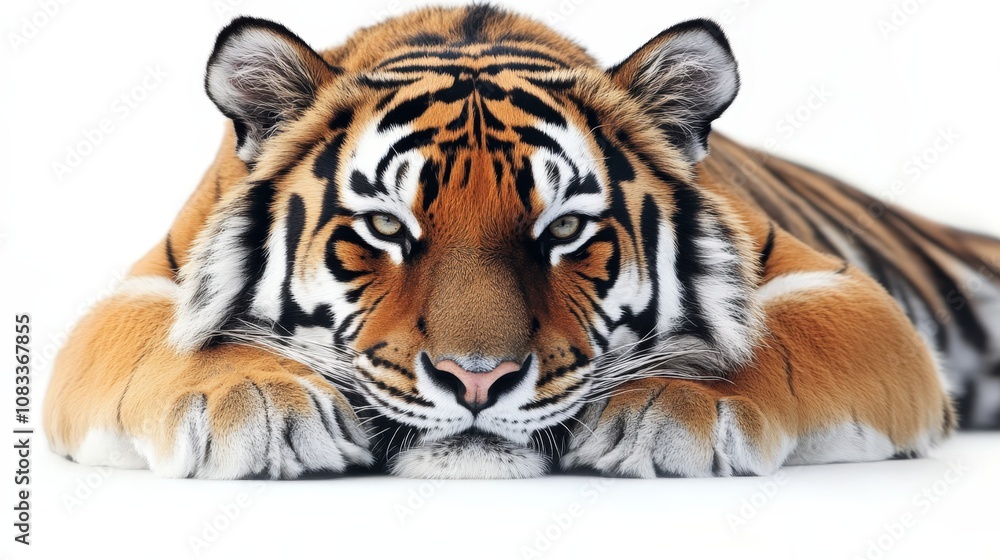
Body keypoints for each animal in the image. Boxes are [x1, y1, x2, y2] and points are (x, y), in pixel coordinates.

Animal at [42, 5, 1000, 480]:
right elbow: (167, 347)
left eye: (565, 229)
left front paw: (671, 405)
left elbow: (774, 342)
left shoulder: (846, 292)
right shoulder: (139, 292)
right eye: (386, 228)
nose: (477, 382)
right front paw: (257, 403)